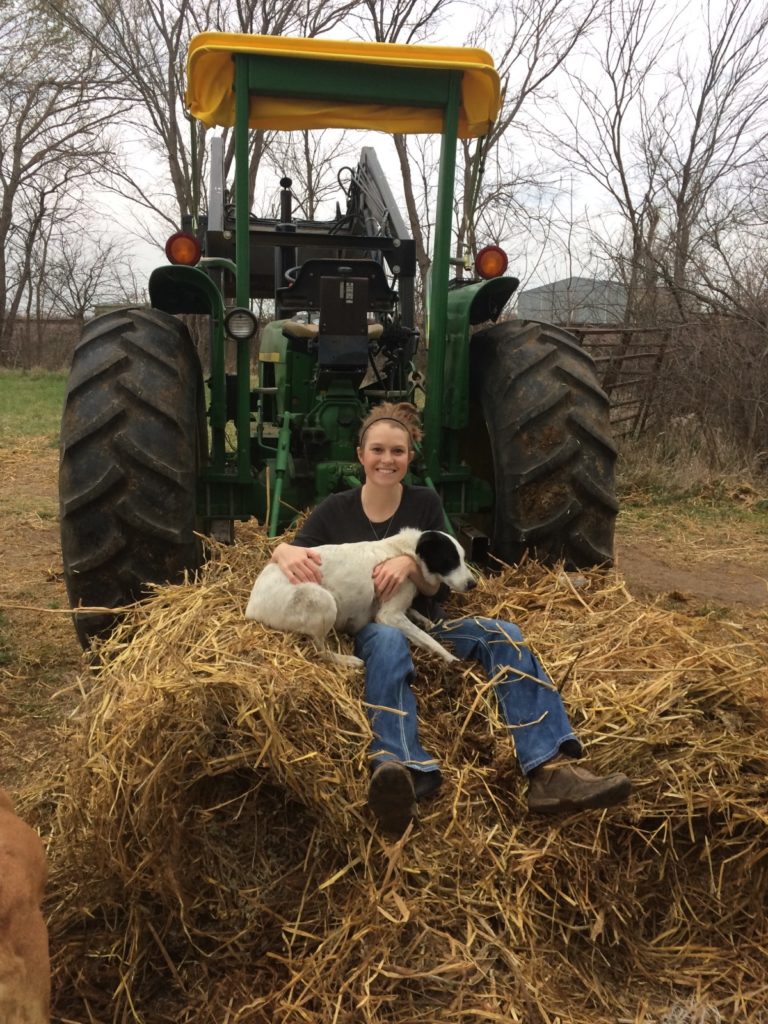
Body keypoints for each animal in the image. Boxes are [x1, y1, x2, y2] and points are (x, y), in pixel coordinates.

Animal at [246, 528, 475, 671]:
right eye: (450, 560)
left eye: (464, 557)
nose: (473, 584)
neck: (406, 552)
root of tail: (251, 607)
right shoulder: (388, 615)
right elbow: (428, 640)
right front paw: (451, 659)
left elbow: (416, 617)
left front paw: (425, 620)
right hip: (324, 601)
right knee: (320, 651)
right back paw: (349, 660)